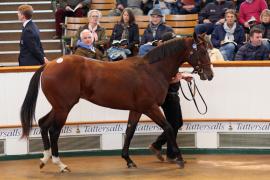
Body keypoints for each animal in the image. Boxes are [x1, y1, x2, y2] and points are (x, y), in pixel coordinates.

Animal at [20, 33, 214, 172]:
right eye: (203, 51)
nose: (210, 74)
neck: (152, 70)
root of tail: (50, 64)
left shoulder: (137, 109)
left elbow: (129, 131)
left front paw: (128, 159)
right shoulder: (150, 108)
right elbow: (168, 127)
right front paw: (180, 159)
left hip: (59, 106)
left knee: (43, 124)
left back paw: (44, 159)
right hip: (63, 108)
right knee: (53, 131)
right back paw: (60, 164)